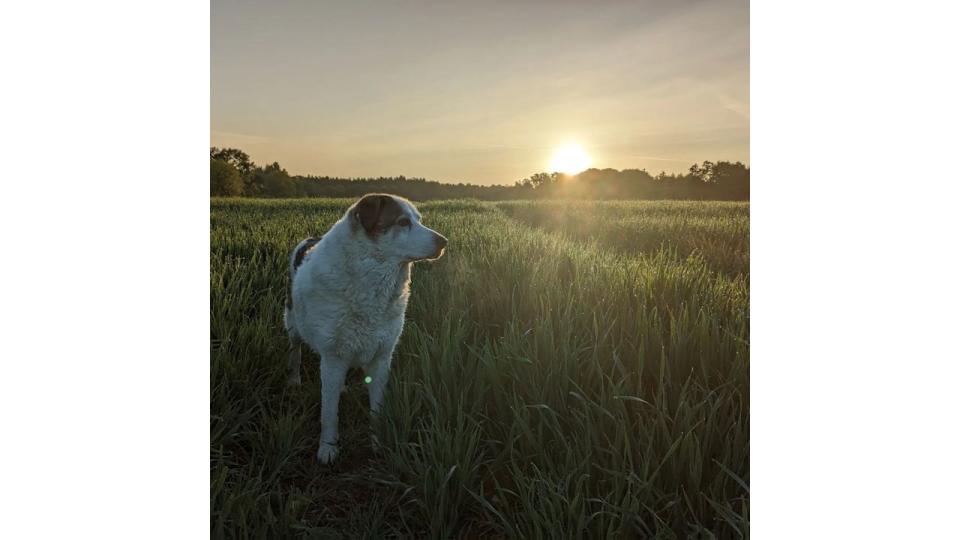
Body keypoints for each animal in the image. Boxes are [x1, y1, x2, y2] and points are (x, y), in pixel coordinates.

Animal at [282, 194, 446, 464]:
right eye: (402, 222)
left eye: (419, 220)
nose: (444, 242)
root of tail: (310, 239)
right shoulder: (333, 355)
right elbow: (329, 412)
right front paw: (328, 449)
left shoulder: (381, 356)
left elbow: (377, 408)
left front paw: (378, 443)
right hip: (293, 324)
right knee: (294, 352)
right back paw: (294, 380)